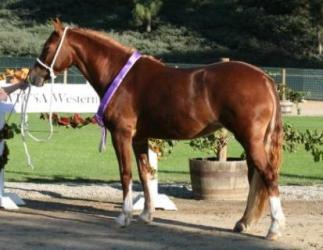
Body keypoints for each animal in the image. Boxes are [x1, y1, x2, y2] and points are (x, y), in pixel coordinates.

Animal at [28, 20, 286, 240]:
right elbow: (145, 174)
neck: (120, 76)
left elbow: (126, 174)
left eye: (47, 47)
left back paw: (274, 228)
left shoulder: (121, 135)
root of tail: (264, 78)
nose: (33, 77)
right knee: (256, 177)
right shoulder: (139, 139)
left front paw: (124, 217)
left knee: (268, 175)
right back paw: (244, 222)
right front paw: (146, 214)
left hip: (250, 139)